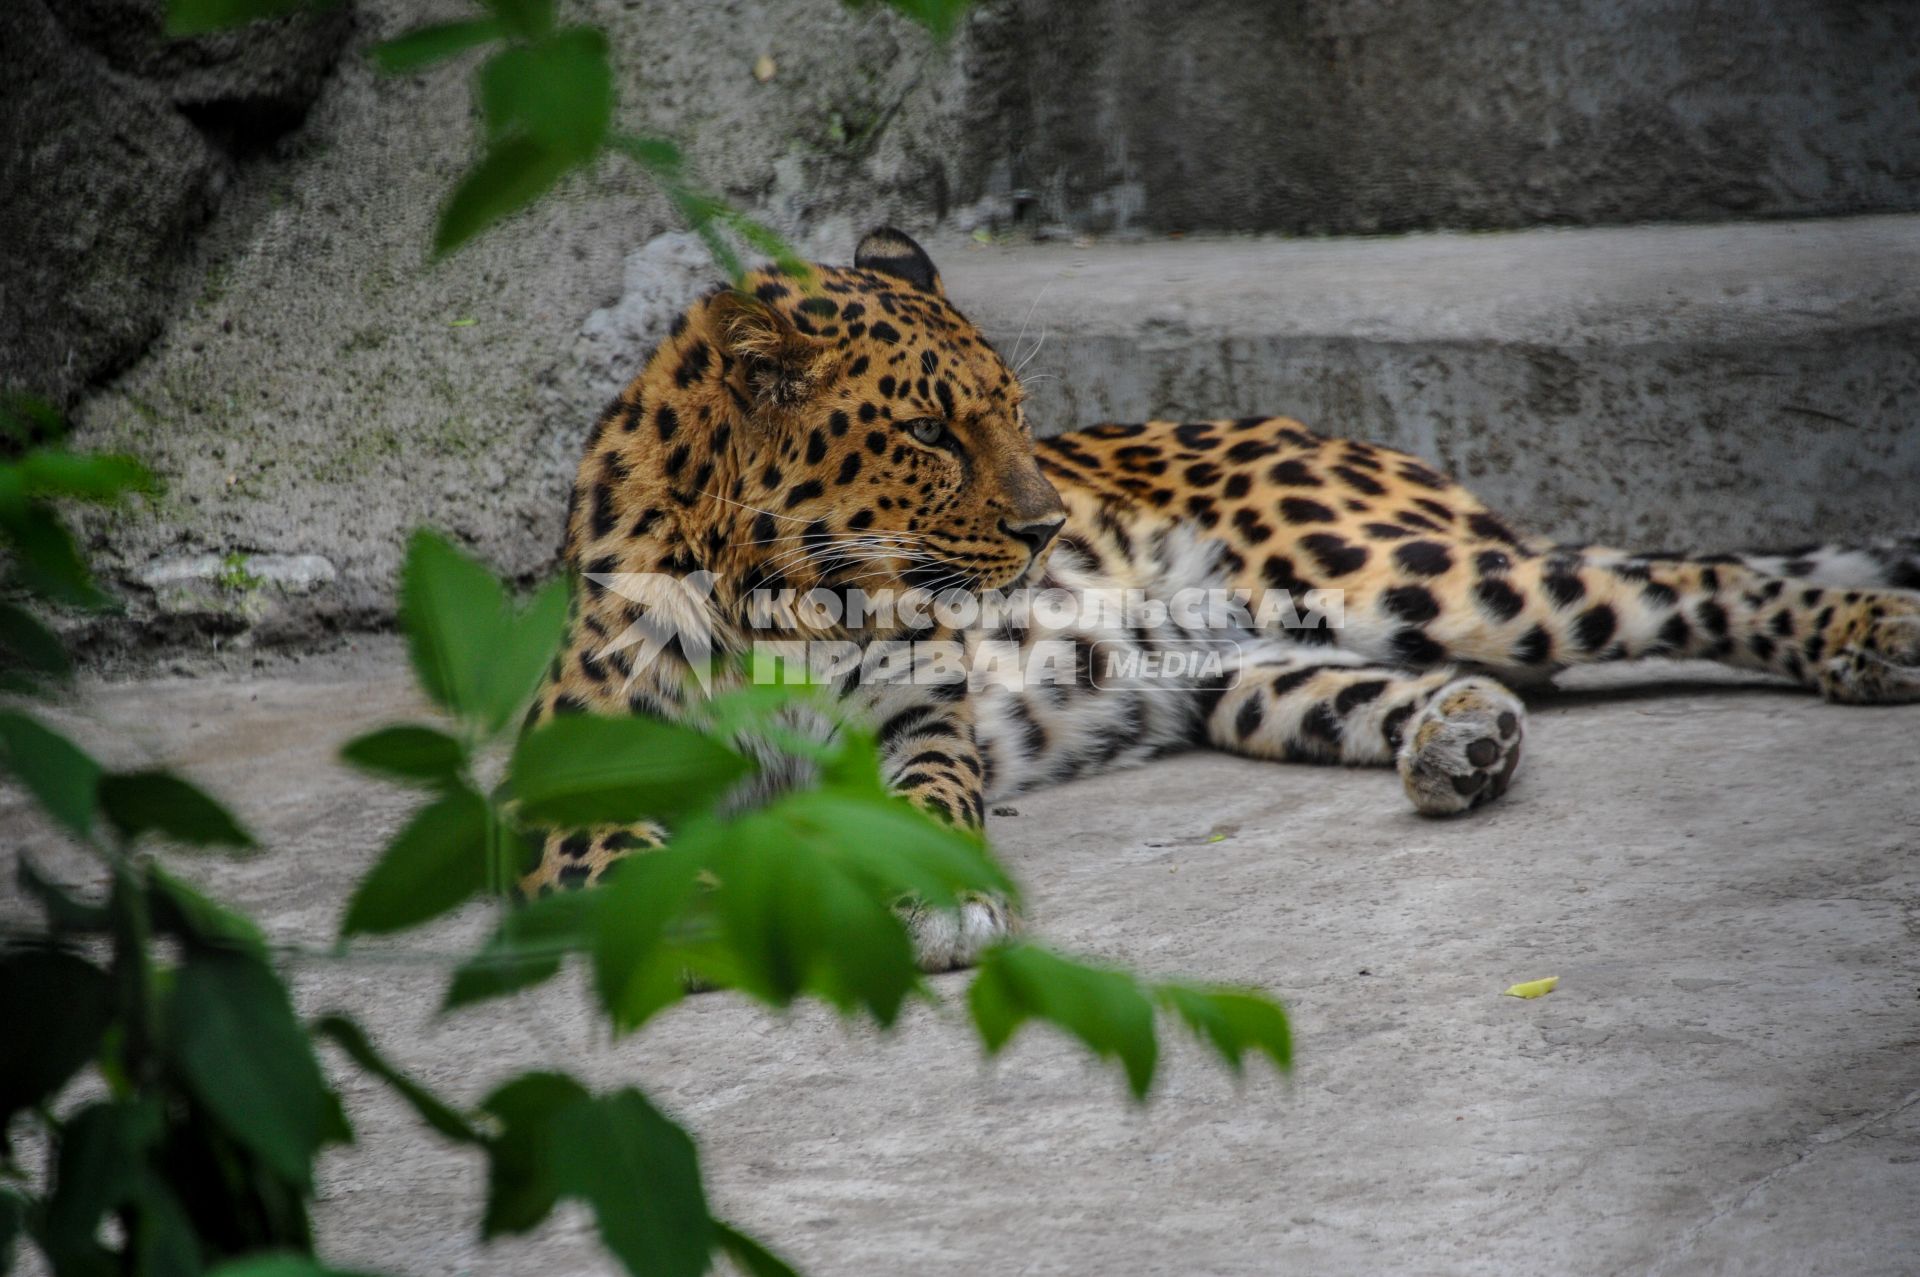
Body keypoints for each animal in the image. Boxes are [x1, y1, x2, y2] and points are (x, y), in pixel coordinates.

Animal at [518, 226, 1920, 967]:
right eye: (925, 432)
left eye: (1014, 413)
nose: (1047, 529)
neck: (786, 596)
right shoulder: (565, 821)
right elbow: (684, 871)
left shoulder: (920, 719)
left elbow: (931, 794)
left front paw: (937, 889)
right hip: (1240, 671)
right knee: (1401, 685)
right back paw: (1458, 740)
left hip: (1401, 565)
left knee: (1684, 575)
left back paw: (1874, 635)